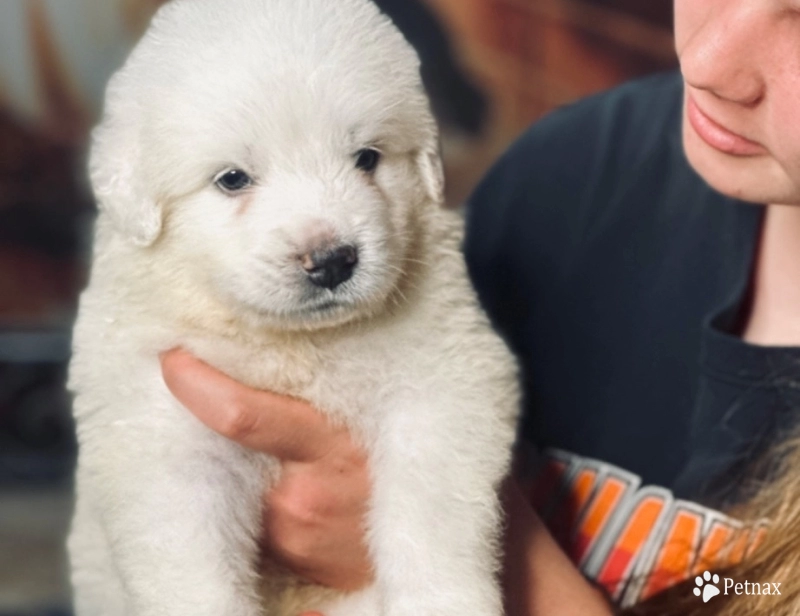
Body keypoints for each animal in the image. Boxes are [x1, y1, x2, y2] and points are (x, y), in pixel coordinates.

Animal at [67, 1, 520, 616]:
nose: (331, 261)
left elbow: (429, 514)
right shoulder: (165, 437)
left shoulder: (442, 383)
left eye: (367, 158)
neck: (297, 345)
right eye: (233, 179)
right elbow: (193, 567)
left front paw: (445, 602)